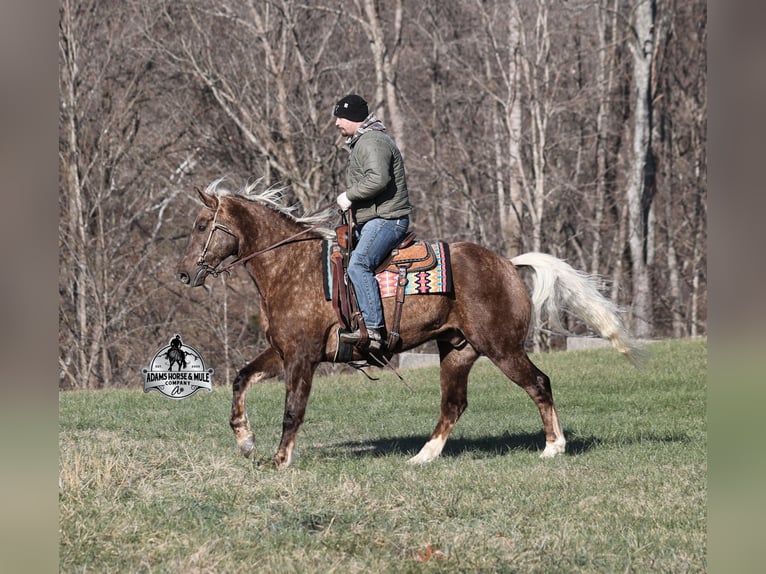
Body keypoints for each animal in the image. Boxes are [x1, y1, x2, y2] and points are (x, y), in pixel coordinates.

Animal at [176, 180, 638, 467]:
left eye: (200, 225)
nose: (183, 274)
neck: (290, 268)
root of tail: (508, 264)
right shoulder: (282, 351)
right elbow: (241, 379)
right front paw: (245, 440)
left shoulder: (303, 356)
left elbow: (293, 411)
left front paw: (279, 459)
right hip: (458, 350)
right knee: (453, 404)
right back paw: (422, 457)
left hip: (502, 347)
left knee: (538, 383)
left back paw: (553, 447)